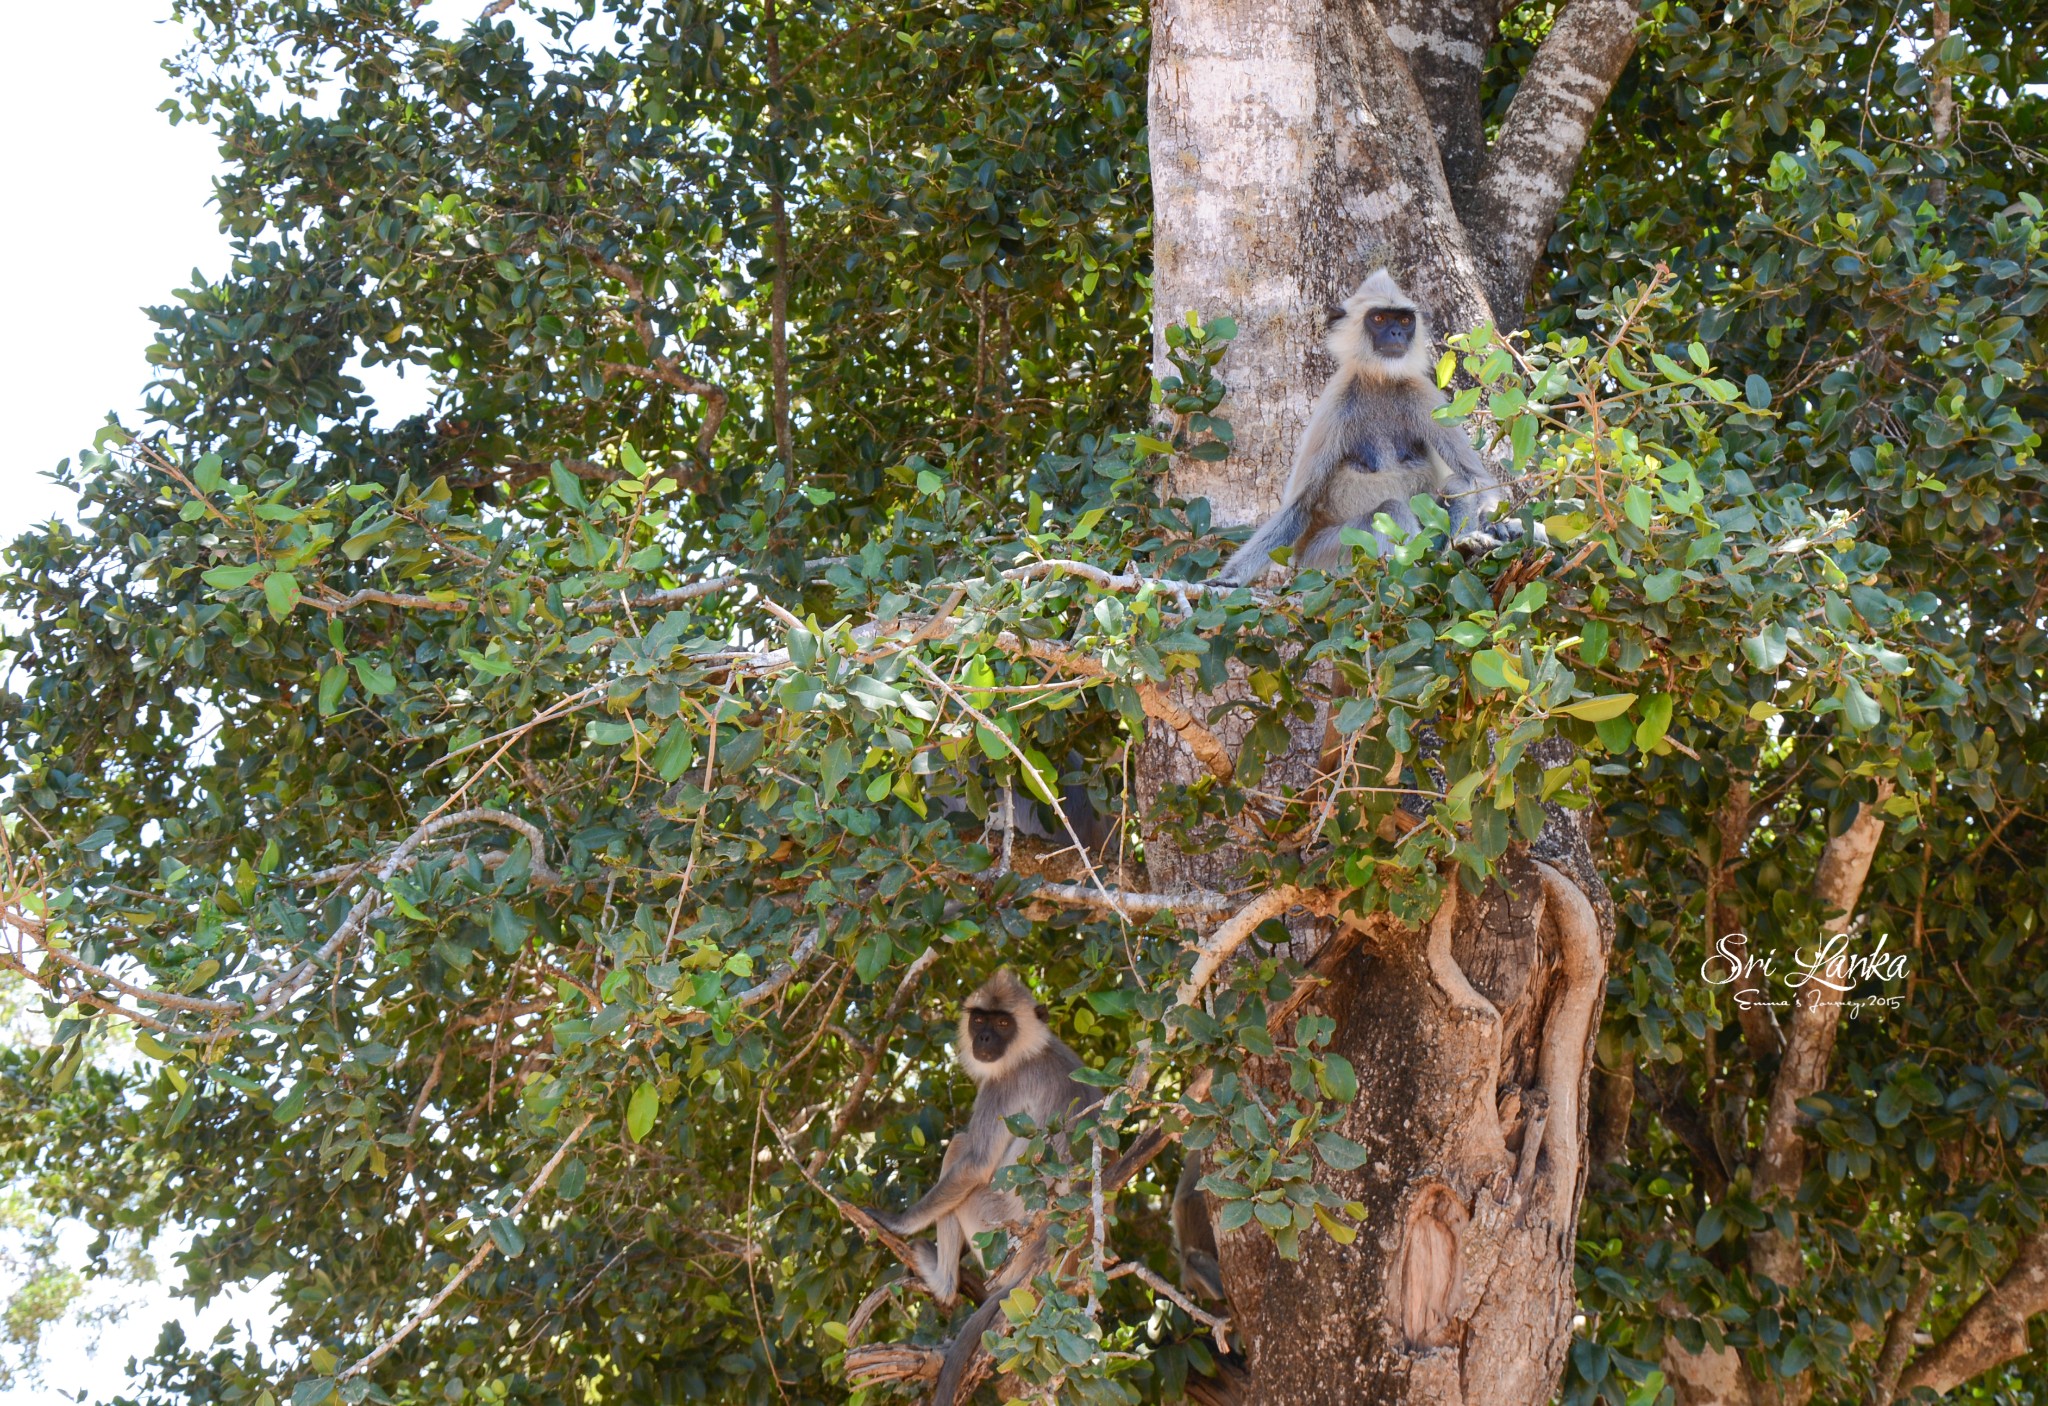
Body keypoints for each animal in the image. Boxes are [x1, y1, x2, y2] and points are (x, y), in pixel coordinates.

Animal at [864, 965, 1097, 1309]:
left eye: (1002, 1023)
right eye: (979, 1020)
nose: (984, 1037)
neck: (1030, 1050)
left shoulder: (1004, 1083)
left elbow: (976, 1165)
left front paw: (897, 1223)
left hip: (993, 1230)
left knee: (959, 1147)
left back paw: (943, 1283)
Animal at [1204, 270, 1531, 589]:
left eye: (1404, 320)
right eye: (1379, 319)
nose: (1396, 333)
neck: (1380, 381)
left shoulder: (1421, 393)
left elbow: (1476, 478)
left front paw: (1498, 525)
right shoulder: (1335, 403)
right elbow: (1299, 507)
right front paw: (1228, 579)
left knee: (1457, 484)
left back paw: (1460, 547)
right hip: (1326, 558)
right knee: (1389, 508)